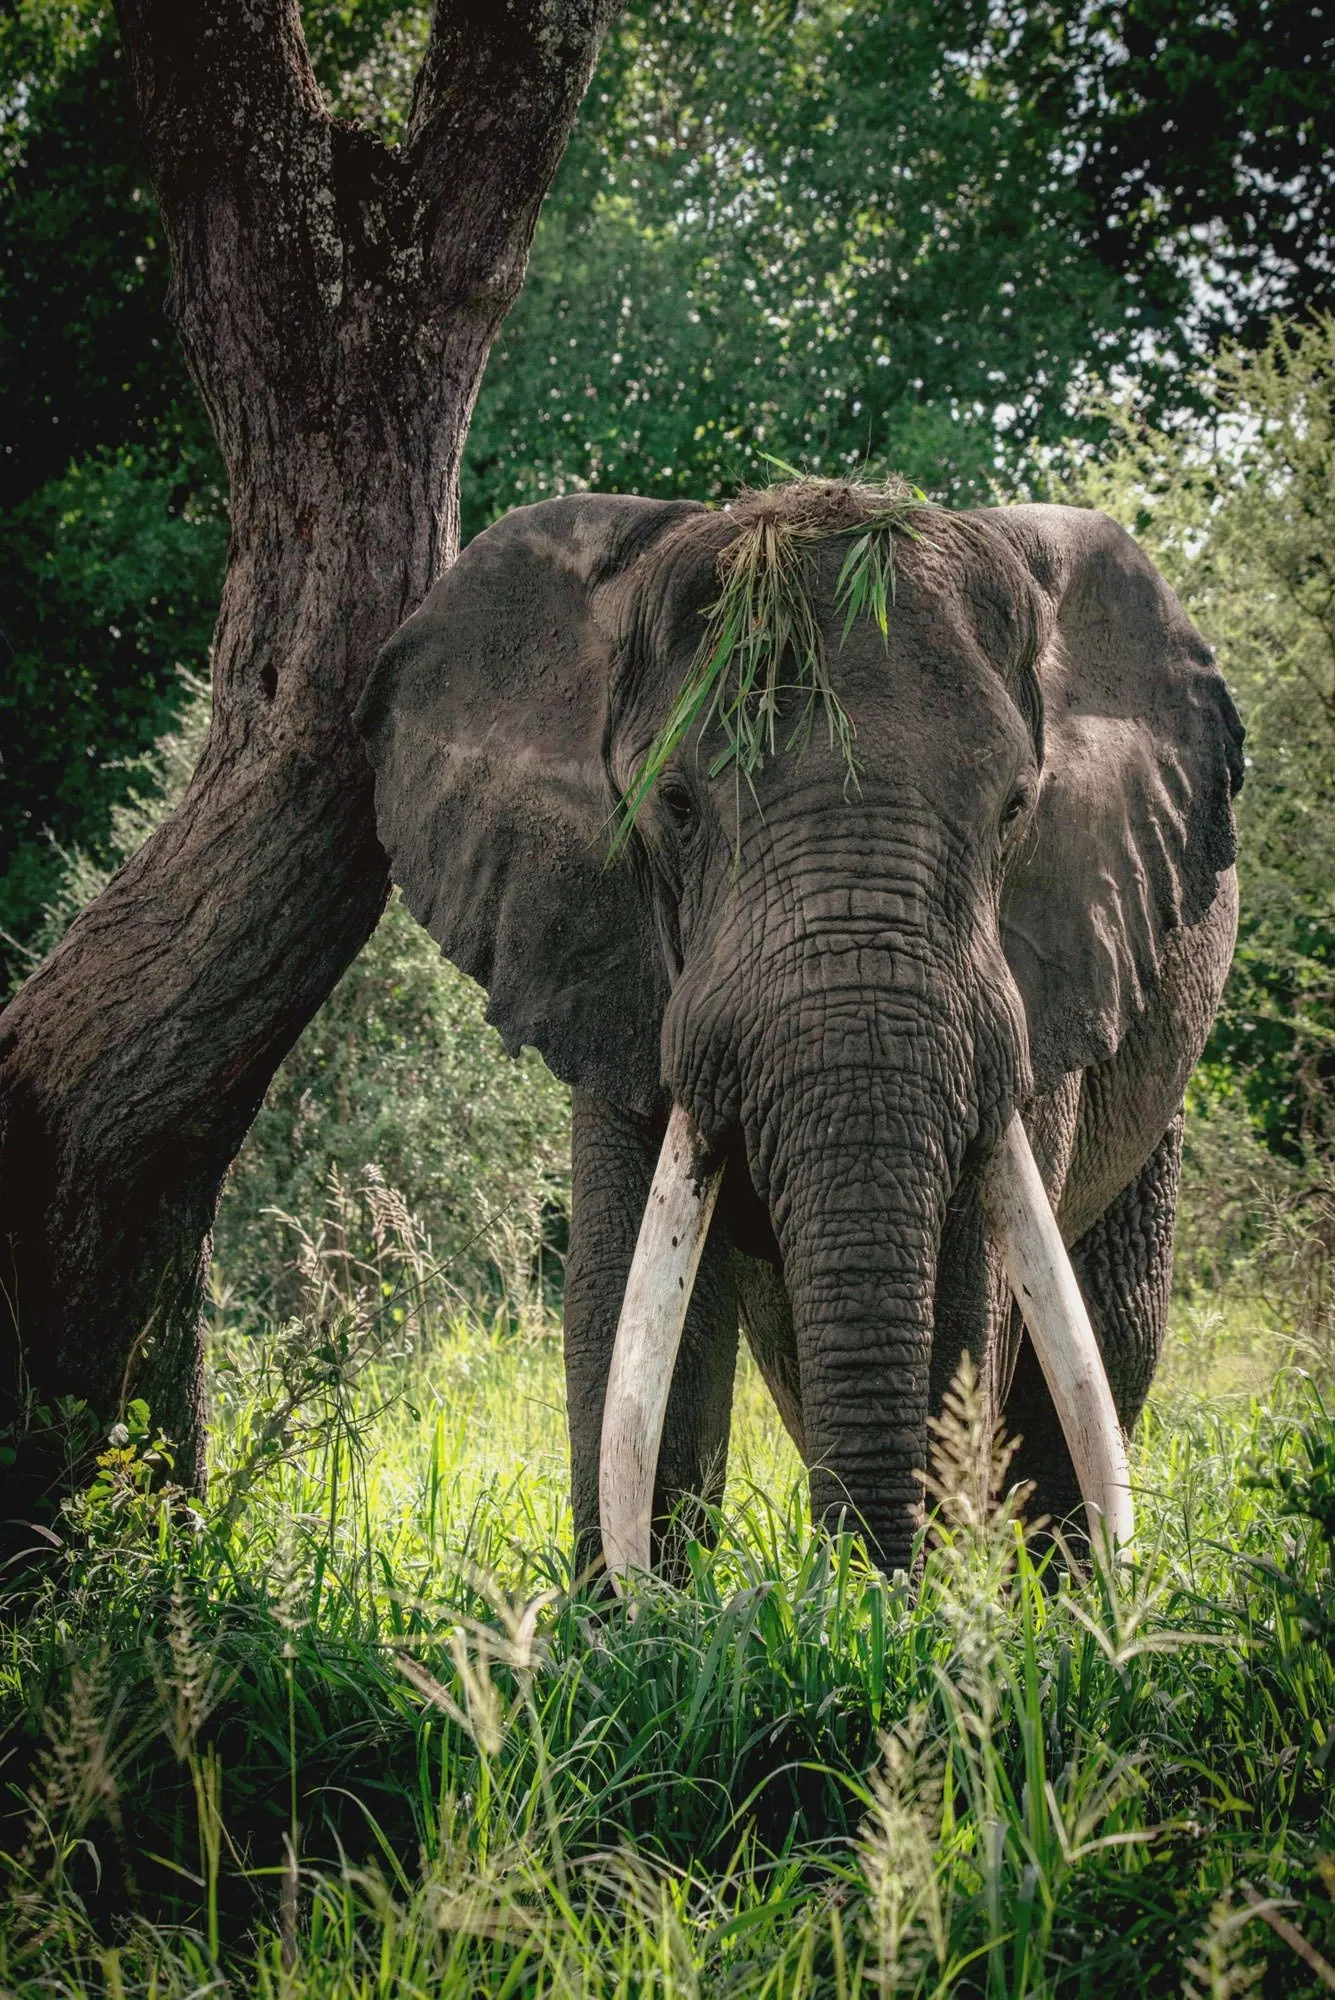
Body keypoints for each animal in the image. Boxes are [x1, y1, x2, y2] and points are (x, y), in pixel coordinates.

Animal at [355, 481, 1242, 1581]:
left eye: (1014, 809)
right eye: (674, 806)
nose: (873, 1582)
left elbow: (967, 1296)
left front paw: (910, 1612)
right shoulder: (606, 952)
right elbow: (626, 1307)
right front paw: (641, 1616)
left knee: (1103, 1337)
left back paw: (1075, 1600)